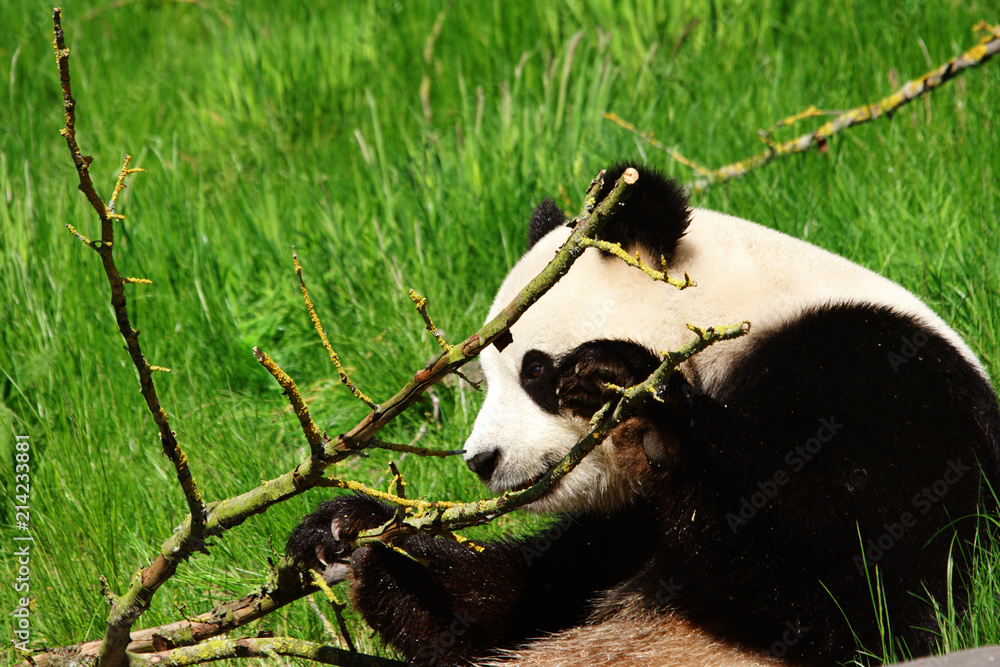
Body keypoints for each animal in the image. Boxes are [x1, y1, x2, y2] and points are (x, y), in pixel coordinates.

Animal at [288, 164, 1000, 666]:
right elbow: (512, 604)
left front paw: (635, 393)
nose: (482, 460)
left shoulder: (881, 382)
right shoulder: (619, 527)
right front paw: (349, 532)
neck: (740, 321)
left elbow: (853, 585)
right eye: (485, 376)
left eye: (534, 371)